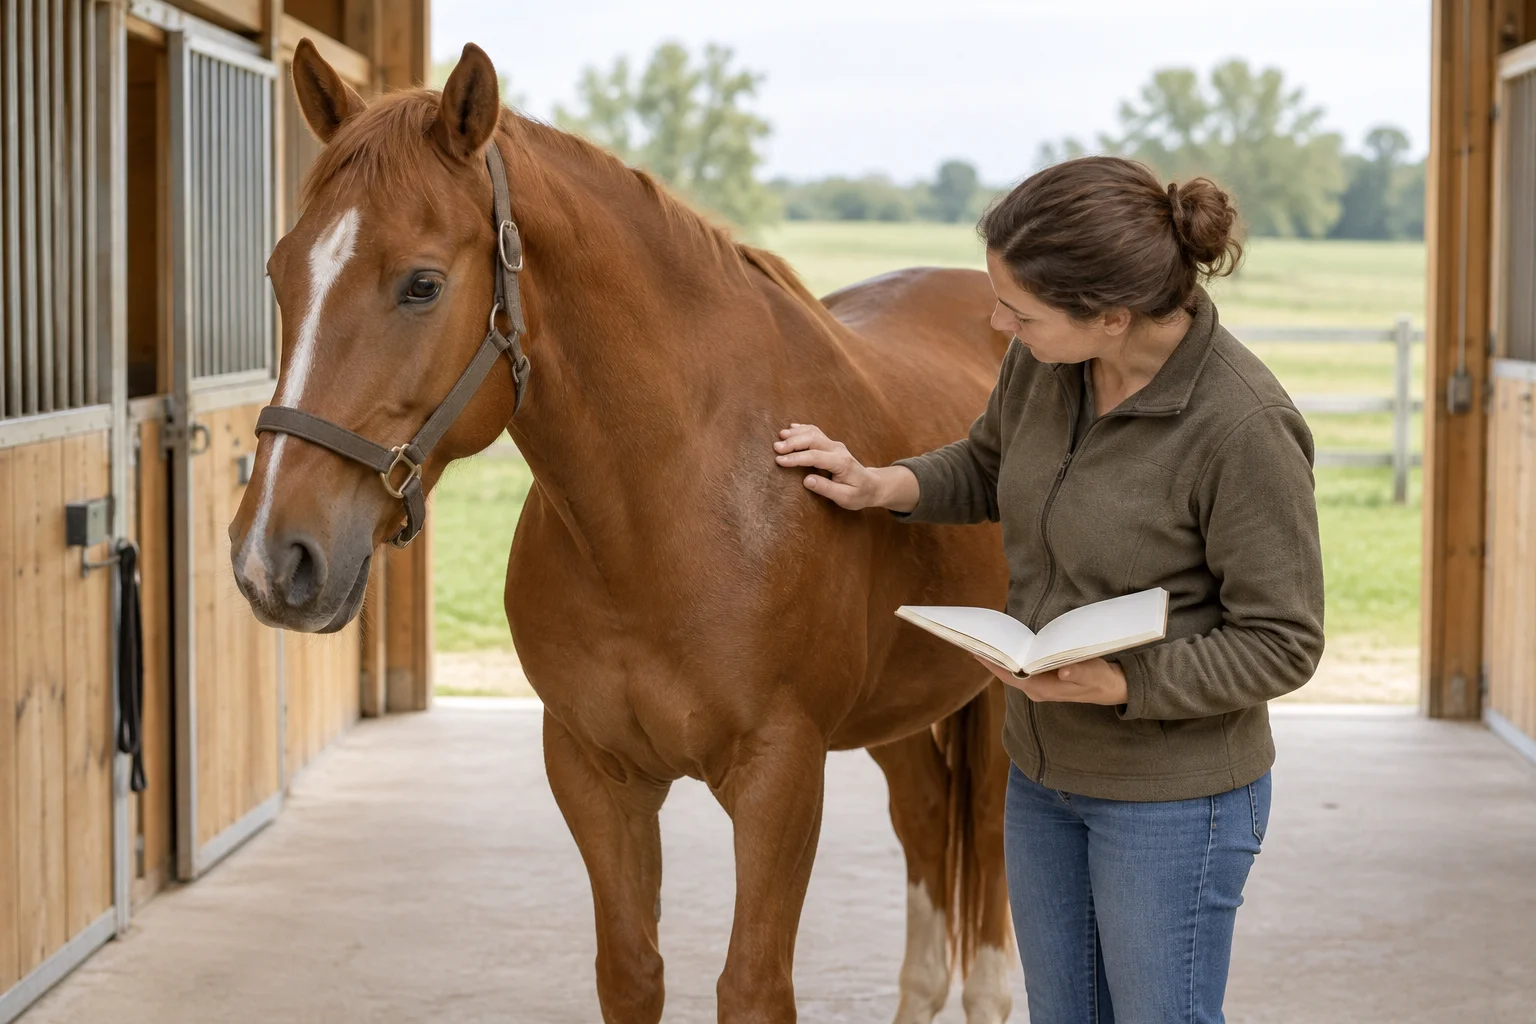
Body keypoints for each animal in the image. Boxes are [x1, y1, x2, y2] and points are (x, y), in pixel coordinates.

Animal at [230, 39, 1017, 1024]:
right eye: (278, 273)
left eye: (422, 284)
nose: (273, 558)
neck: (670, 502)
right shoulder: (593, 772)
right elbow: (631, 971)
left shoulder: (780, 777)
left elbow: (753, 986)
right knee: (925, 821)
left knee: (987, 855)